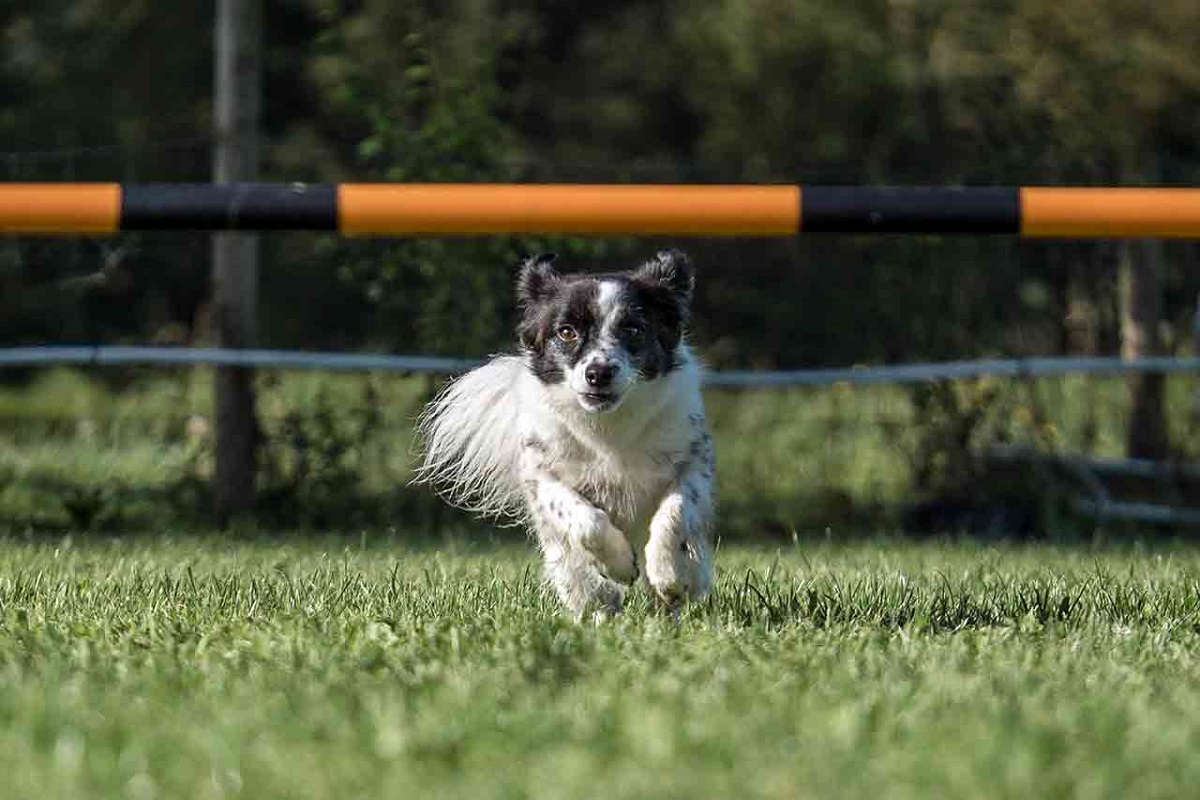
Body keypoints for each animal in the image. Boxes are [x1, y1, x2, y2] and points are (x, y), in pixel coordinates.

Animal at [415, 250, 710, 618]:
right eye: (566, 332)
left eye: (633, 328)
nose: (598, 373)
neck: (607, 429)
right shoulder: (542, 474)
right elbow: (585, 519)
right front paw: (619, 564)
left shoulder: (692, 459)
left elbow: (675, 512)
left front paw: (668, 574)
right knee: (583, 578)